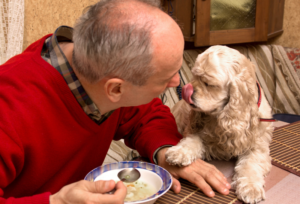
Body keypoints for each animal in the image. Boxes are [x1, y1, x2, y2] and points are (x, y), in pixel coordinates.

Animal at [166, 45, 274, 203]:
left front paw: (251, 188)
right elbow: (191, 141)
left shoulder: (257, 146)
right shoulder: (201, 134)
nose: (187, 90)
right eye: (194, 77)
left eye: (209, 84)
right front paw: (178, 153)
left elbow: (251, 164)